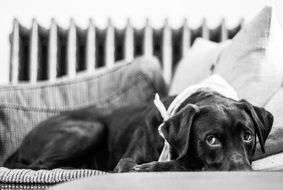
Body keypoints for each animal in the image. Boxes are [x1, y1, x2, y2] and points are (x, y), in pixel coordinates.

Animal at [4, 87, 274, 172]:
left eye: (247, 136)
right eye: (212, 140)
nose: (242, 172)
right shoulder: (126, 161)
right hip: (89, 129)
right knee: (39, 165)